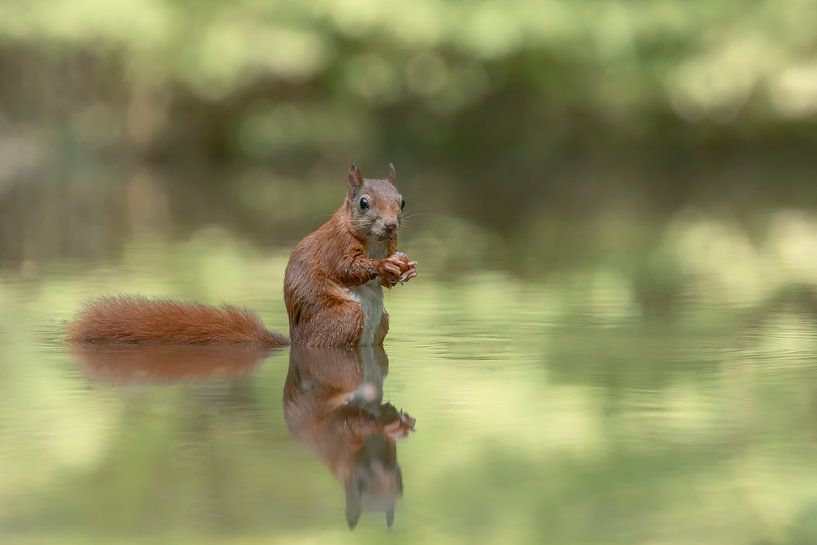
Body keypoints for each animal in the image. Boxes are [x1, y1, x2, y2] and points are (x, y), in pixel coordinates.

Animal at [67, 164, 417, 348]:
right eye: (363, 203)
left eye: (402, 202)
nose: (390, 225)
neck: (373, 241)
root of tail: (295, 340)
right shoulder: (336, 245)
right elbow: (347, 268)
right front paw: (383, 265)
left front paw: (405, 269)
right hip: (344, 317)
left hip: (381, 323)